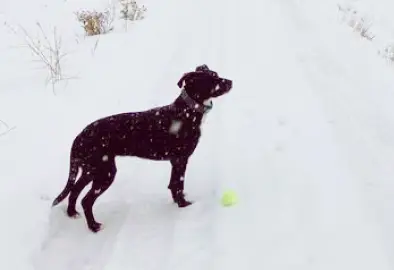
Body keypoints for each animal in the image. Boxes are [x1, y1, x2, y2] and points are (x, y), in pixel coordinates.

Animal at [51, 63, 232, 232]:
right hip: (105, 171)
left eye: (216, 74)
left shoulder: (175, 161)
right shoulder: (181, 159)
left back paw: (71, 213)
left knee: (74, 190)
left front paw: (177, 203)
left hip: (90, 169)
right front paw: (183, 205)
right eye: (211, 80)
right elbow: (178, 185)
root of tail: (79, 137)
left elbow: (173, 184)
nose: (230, 82)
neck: (187, 111)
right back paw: (94, 226)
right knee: (86, 200)